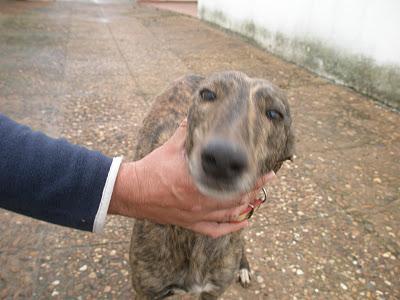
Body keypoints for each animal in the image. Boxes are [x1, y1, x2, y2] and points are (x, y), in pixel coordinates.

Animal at [129, 71, 294, 300]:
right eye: (207, 94)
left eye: (274, 113)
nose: (223, 159)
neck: (197, 238)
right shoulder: (147, 292)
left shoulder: (212, 291)